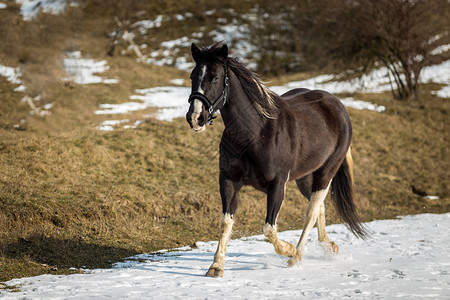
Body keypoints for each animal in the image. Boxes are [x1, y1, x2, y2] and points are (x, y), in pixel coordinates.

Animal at [185, 43, 368, 278]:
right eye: (193, 76)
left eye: (215, 77)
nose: (195, 118)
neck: (254, 133)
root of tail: (337, 105)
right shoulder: (228, 180)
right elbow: (226, 222)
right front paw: (216, 267)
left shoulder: (277, 185)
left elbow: (269, 229)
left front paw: (289, 250)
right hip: (305, 178)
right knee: (319, 208)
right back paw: (329, 246)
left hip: (325, 174)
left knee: (311, 212)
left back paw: (296, 256)